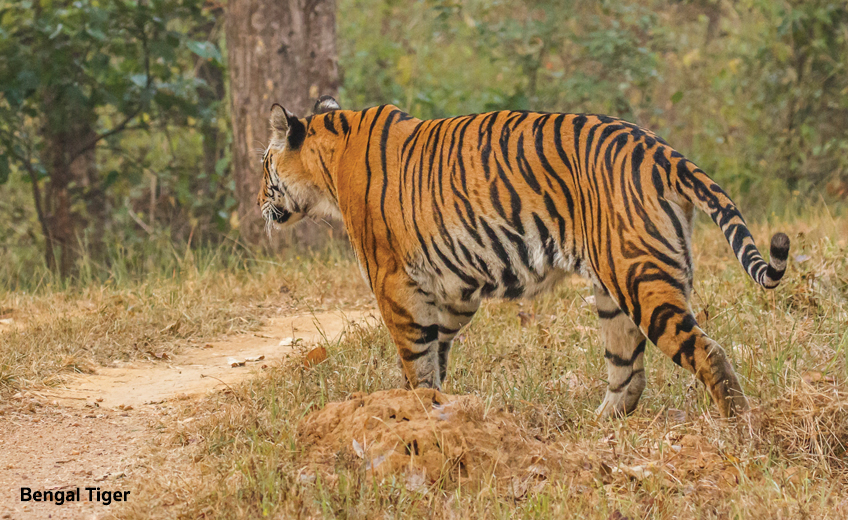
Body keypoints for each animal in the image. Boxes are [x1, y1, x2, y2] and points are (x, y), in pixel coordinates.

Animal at [258, 95, 788, 420]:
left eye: (264, 166)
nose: (259, 202)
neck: (329, 160)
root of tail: (660, 149)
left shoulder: (394, 282)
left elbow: (416, 360)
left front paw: (416, 412)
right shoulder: (453, 288)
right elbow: (437, 352)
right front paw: (438, 409)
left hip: (641, 279)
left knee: (707, 353)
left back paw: (741, 431)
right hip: (614, 290)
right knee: (628, 373)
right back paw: (596, 427)